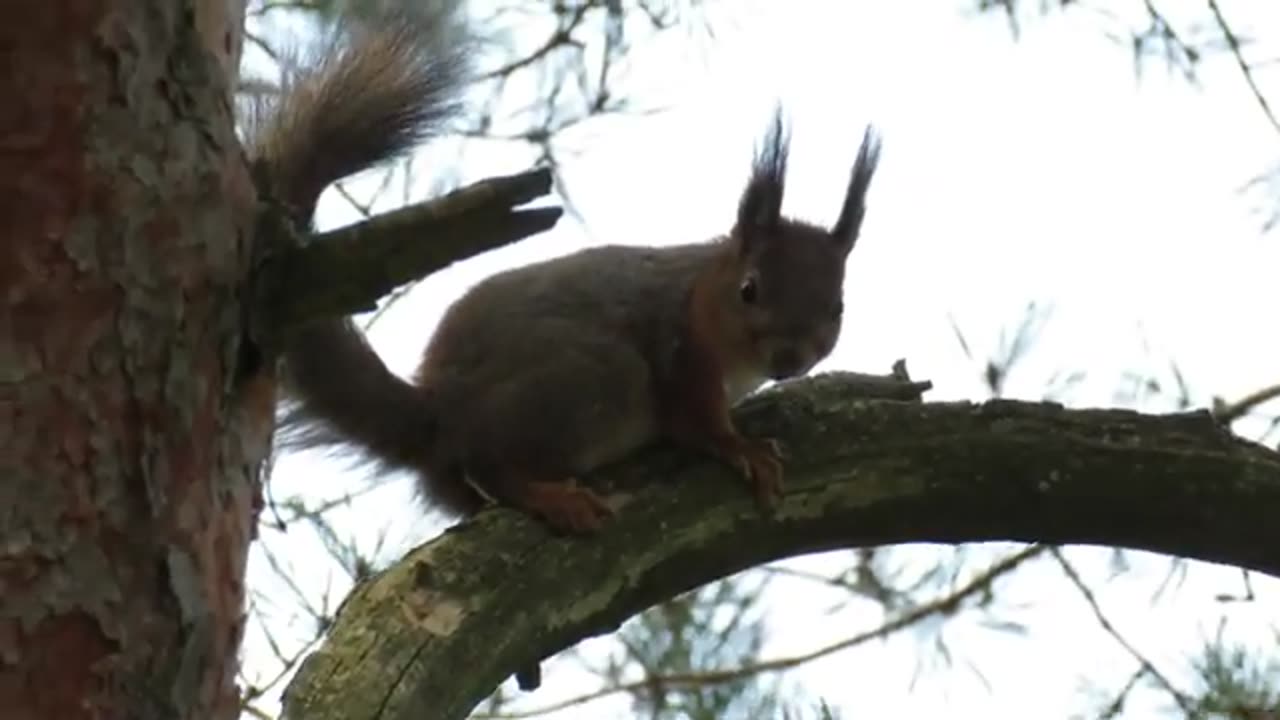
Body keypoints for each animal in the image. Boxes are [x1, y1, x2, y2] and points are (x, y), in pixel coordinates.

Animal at [254, 5, 885, 532]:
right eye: (750, 290)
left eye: (838, 307)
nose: (789, 357)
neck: (702, 296)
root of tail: (438, 414)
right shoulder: (679, 353)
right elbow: (697, 425)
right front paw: (743, 450)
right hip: (593, 379)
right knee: (491, 462)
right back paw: (550, 495)